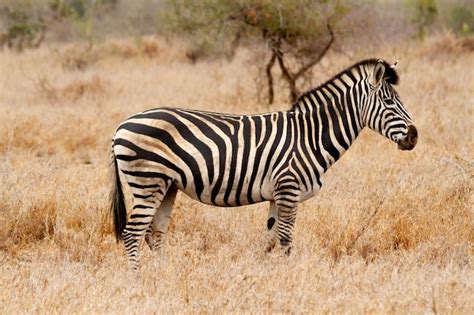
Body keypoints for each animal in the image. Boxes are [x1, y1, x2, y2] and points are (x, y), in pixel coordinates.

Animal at [109, 58, 416, 270]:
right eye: (389, 102)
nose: (414, 136)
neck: (310, 136)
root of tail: (122, 125)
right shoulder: (289, 189)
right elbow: (285, 240)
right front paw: (287, 277)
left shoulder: (277, 194)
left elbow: (268, 239)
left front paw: (258, 272)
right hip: (147, 182)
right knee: (132, 235)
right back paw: (138, 282)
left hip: (167, 186)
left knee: (155, 235)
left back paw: (165, 276)